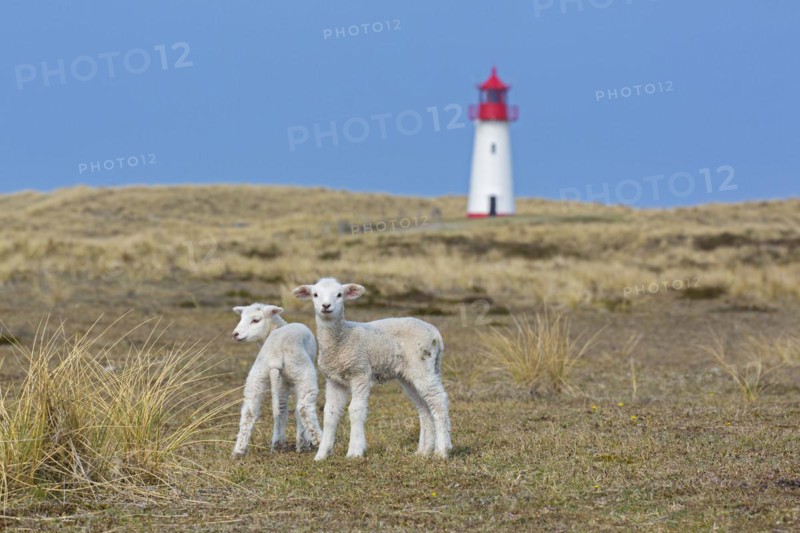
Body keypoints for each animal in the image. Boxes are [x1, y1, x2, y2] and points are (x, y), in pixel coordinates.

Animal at [230, 303, 322, 458]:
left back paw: (240, 450)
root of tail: (275, 354)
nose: (235, 334)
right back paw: (315, 441)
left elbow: (281, 409)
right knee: (303, 408)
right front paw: (303, 442)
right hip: (303, 372)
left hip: (258, 374)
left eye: (256, 320)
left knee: (249, 412)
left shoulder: (280, 381)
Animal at [292, 278, 452, 460]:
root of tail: (435, 333)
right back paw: (423, 451)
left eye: (339, 294)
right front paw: (321, 455)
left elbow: (356, 409)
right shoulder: (334, 380)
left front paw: (354, 451)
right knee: (424, 407)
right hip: (410, 374)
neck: (342, 339)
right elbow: (330, 414)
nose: (326, 306)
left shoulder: (360, 372)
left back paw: (442, 451)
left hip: (422, 364)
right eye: (315, 294)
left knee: (438, 400)